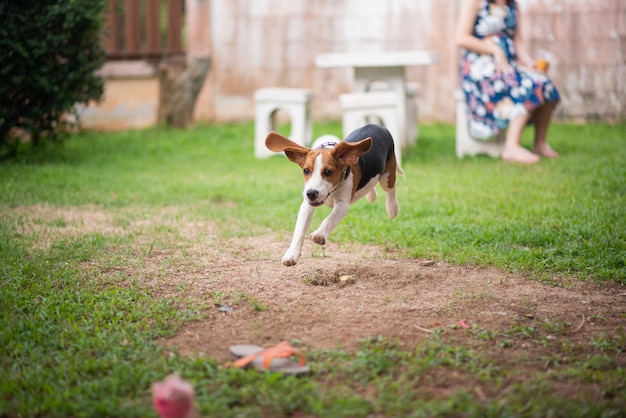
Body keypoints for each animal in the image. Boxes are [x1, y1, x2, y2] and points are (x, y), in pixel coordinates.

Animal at [264, 125, 404, 268]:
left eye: (327, 172)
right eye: (306, 170)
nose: (311, 193)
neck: (332, 191)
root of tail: (378, 126)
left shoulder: (342, 205)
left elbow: (330, 219)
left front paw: (319, 234)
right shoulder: (306, 206)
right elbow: (299, 230)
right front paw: (292, 254)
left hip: (387, 176)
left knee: (391, 188)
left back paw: (392, 208)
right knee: (372, 187)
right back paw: (371, 195)